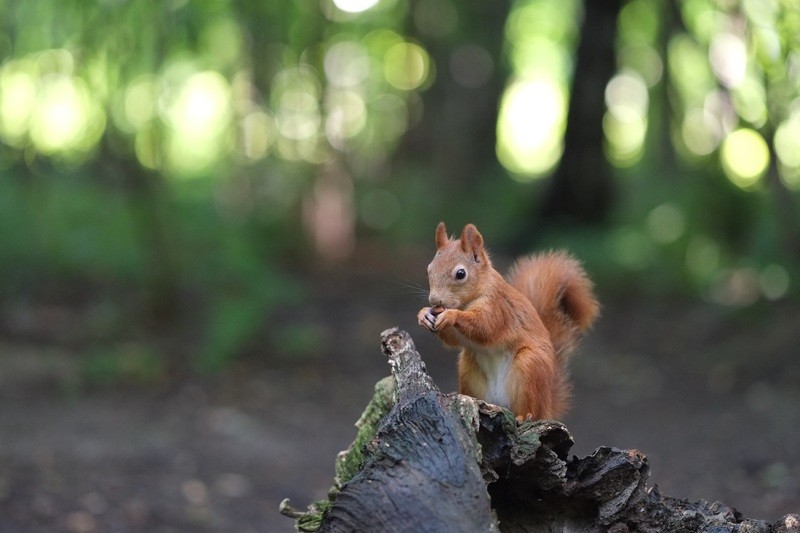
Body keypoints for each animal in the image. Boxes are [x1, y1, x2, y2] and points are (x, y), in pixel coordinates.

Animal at [416, 220, 596, 420]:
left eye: (460, 274)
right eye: (428, 270)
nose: (435, 301)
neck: (465, 302)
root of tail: (548, 405)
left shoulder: (497, 307)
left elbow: (485, 327)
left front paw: (451, 315)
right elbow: (453, 340)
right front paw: (423, 314)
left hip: (529, 365)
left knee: (531, 408)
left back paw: (525, 416)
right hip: (468, 368)